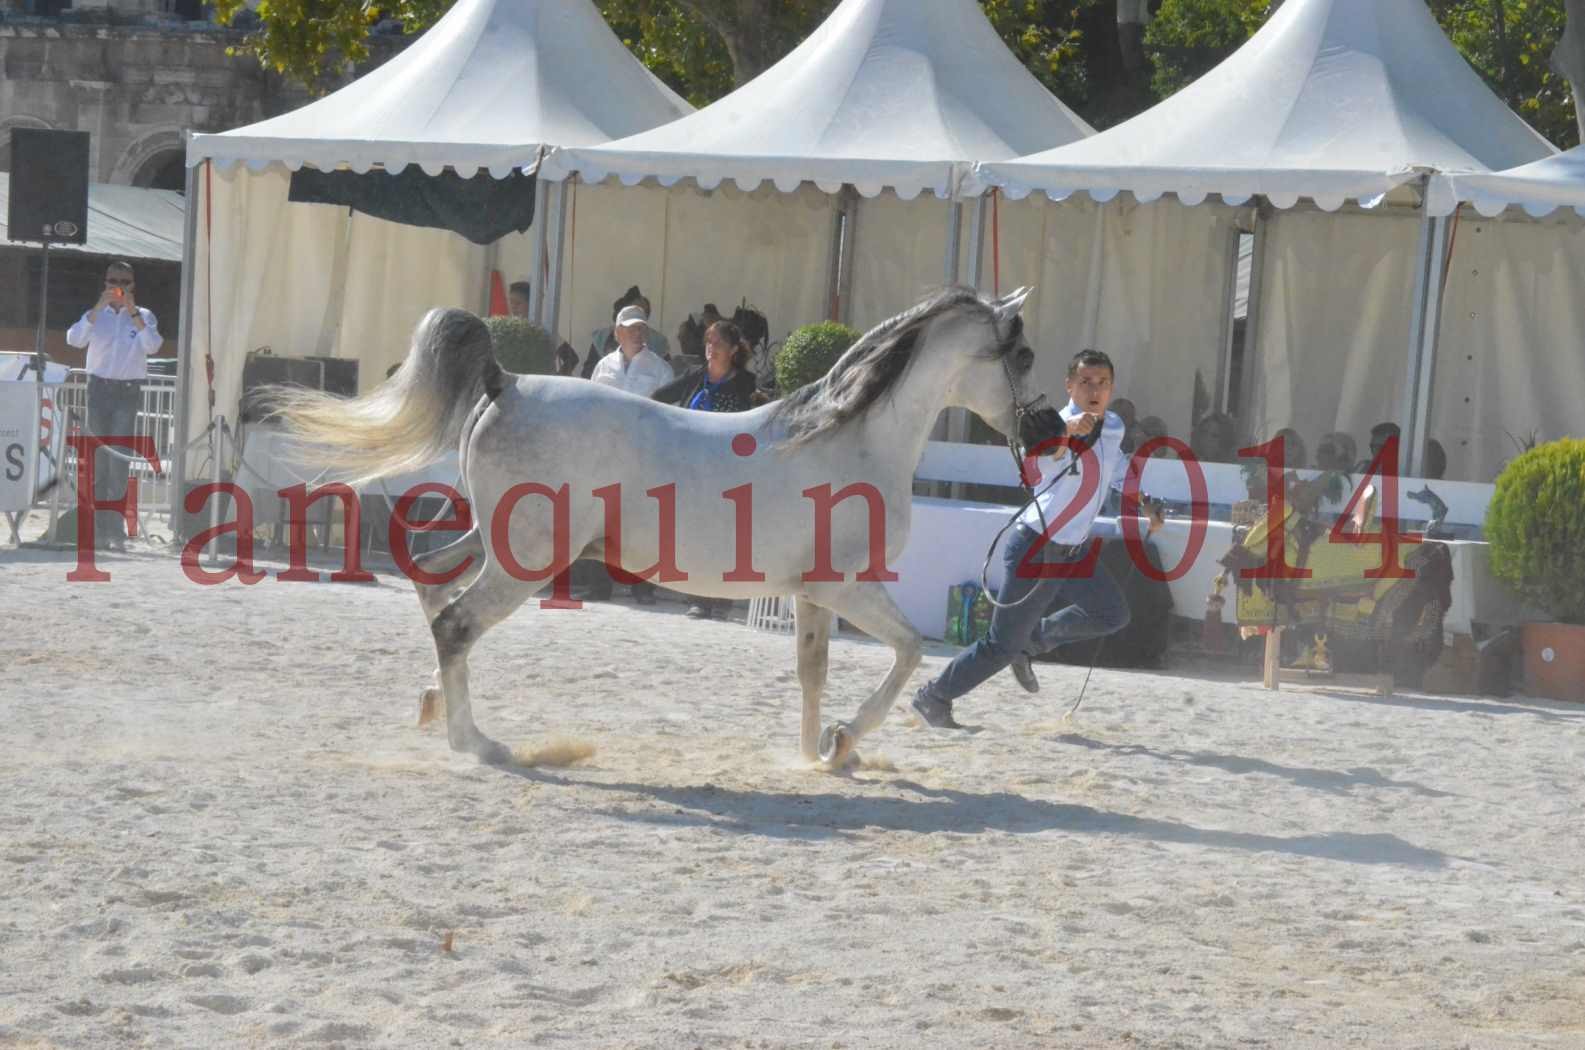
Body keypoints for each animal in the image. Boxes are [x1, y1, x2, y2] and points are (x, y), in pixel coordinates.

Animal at [274, 288, 1052, 774]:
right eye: (1021, 356)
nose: (1047, 430)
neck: (851, 437)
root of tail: (506, 383)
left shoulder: (809, 594)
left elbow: (812, 671)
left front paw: (820, 757)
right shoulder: (847, 588)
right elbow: (908, 650)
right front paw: (843, 740)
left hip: (499, 546)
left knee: (432, 586)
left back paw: (436, 706)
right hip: (527, 560)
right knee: (455, 623)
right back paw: (477, 743)